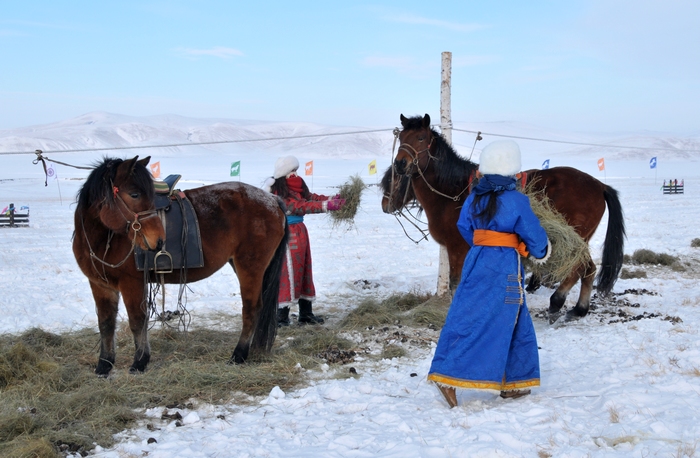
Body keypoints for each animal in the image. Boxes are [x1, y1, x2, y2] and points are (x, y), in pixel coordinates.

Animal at [72, 156, 288, 374]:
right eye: (134, 194)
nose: (159, 240)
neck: (103, 239)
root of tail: (272, 200)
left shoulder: (131, 284)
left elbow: (137, 321)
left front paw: (140, 361)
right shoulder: (100, 285)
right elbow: (106, 323)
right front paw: (104, 365)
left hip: (250, 268)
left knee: (251, 309)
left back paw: (239, 355)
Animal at [380, 113, 628, 318]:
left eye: (421, 137)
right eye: (402, 137)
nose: (401, 163)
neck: (452, 191)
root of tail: (599, 185)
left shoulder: (457, 248)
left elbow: (456, 283)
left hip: (572, 239)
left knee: (579, 268)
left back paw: (558, 301)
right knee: (588, 269)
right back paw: (579, 309)